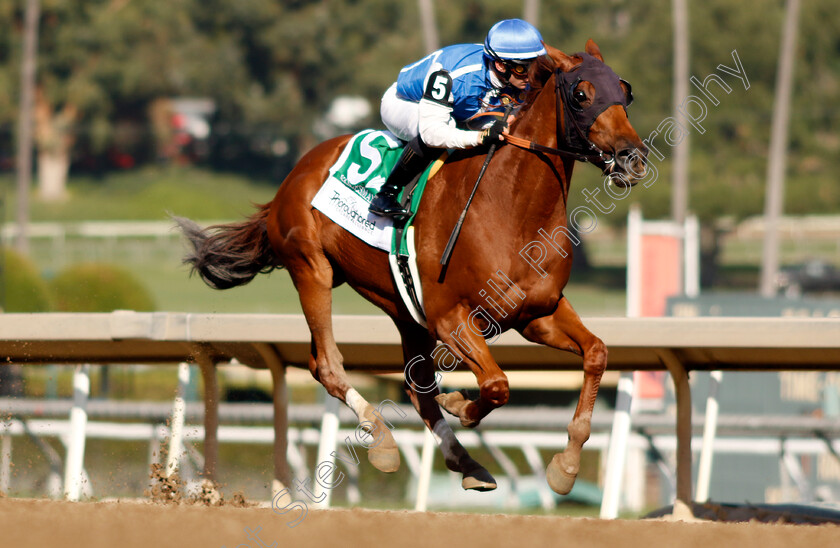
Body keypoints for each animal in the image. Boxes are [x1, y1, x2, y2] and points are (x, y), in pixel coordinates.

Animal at [177, 41, 648, 496]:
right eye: (582, 94)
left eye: (625, 93)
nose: (633, 159)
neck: (512, 210)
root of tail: (297, 172)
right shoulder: (451, 317)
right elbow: (497, 385)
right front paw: (461, 405)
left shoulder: (537, 314)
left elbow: (596, 353)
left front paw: (565, 467)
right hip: (312, 270)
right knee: (327, 364)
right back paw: (384, 440)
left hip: (404, 307)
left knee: (416, 384)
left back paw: (467, 462)